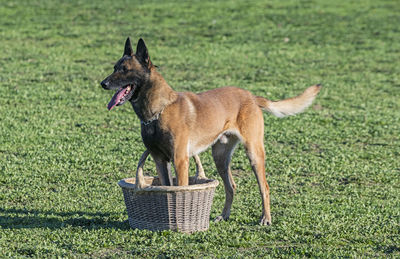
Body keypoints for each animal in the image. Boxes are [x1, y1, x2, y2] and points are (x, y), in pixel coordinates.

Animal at [101, 37, 322, 225]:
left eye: (125, 69)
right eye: (114, 68)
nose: (103, 83)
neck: (159, 110)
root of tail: (251, 96)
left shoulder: (180, 160)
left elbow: (180, 188)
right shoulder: (160, 160)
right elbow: (167, 186)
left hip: (254, 154)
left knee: (264, 188)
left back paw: (265, 219)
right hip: (220, 158)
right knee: (231, 187)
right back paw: (224, 216)